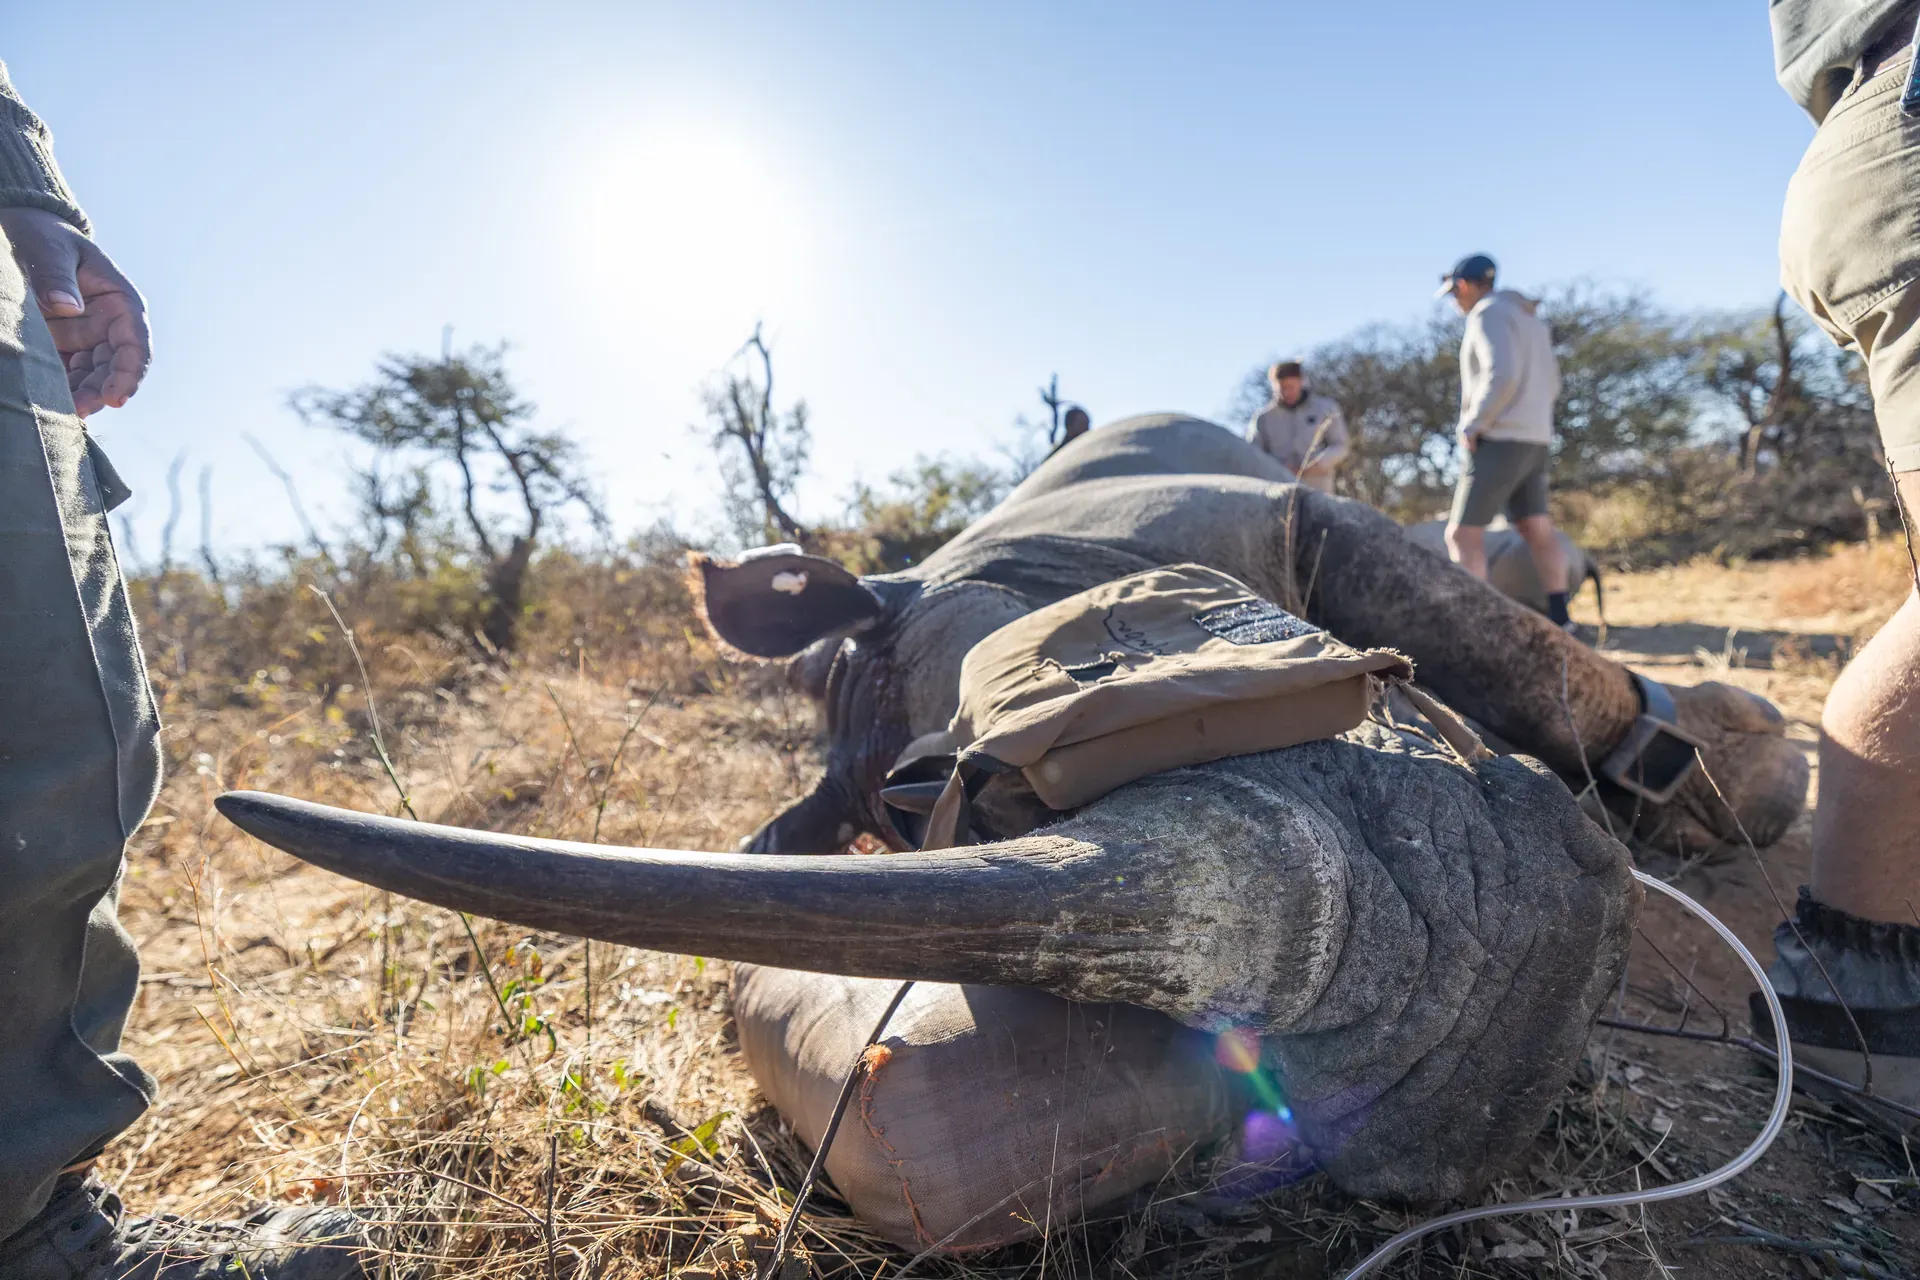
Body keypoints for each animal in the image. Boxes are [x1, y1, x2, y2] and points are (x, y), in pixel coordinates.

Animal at [215, 415, 1808, 1234]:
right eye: (927, 804)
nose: (1487, 975)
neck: (1005, 576)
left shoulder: (1288, 516)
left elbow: (1507, 649)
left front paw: (1745, 777)